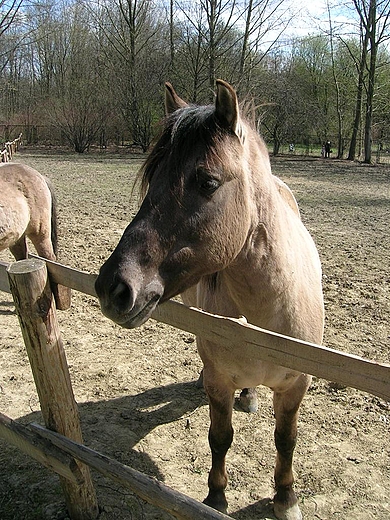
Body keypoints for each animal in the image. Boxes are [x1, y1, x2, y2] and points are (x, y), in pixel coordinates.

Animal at [96, 80, 324, 520]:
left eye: (206, 182)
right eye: (152, 177)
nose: (113, 287)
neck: (267, 321)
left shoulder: (296, 386)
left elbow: (286, 439)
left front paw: (286, 497)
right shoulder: (220, 382)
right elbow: (220, 436)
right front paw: (215, 496)